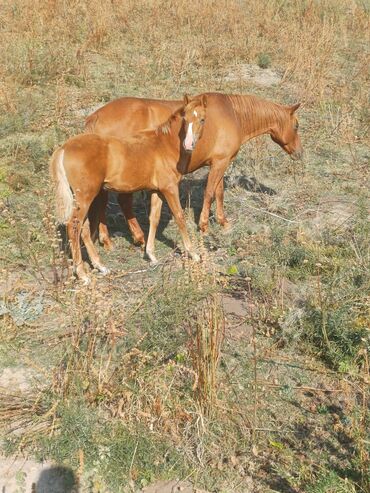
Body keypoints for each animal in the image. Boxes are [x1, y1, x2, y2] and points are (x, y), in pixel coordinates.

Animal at [49, 94, 207, 282]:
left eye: (202, 119)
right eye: (185, 119)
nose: (189, 144)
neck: (163, 146)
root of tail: (64, 148)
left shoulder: (157, 190)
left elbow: (154, 218)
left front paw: (151, 255)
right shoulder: (169, 188)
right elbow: (180, 217)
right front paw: (194, 254)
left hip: (81, 198)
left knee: (84, 229)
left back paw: (101, 266)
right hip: (85, 196)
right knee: (74, 226)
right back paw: (82, 274)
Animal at [86, 91, 304, 250]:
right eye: (296, 125)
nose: (300, 153)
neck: (232, 114)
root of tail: (95, 117)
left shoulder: (219, 163)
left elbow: (219, 192)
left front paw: (223, 222)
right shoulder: (220, 163)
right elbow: (210, 193)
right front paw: (204, 225)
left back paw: (109, 239)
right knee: (120, 202)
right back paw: (135, 237)